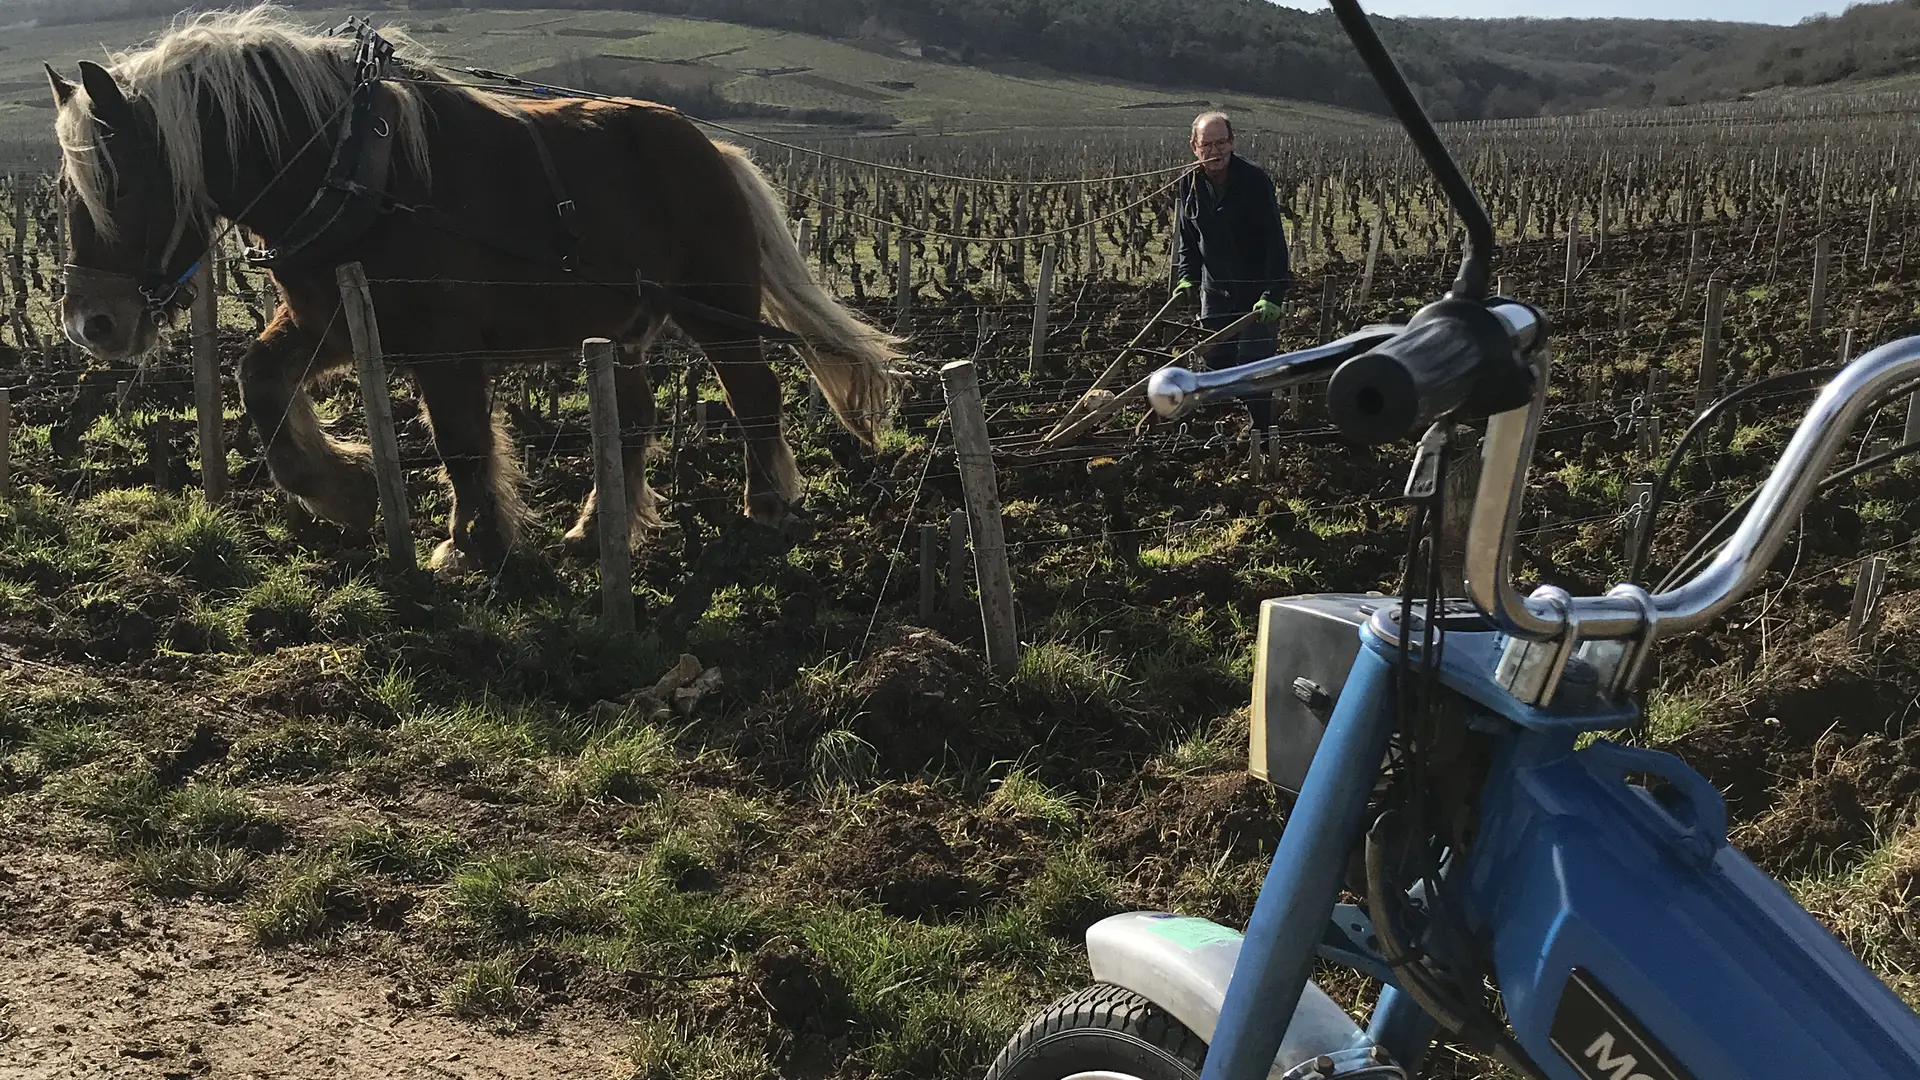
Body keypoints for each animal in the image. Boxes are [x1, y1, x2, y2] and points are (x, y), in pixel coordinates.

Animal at [45, 6, 898, 572]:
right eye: (63, 187)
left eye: (121, 183)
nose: (93, 323)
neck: (353, 172)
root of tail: (710, 148)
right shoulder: (333, 318)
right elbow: (260, 382)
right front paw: (345, 491)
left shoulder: (442, 336)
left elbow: (460, 436)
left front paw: (473, 542)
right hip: (624, 321)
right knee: (631, 416)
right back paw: (598, 528)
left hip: (716, 305)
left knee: (753, 393)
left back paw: (766, 506)